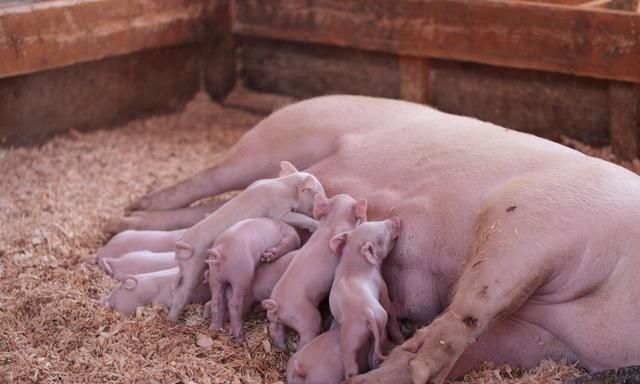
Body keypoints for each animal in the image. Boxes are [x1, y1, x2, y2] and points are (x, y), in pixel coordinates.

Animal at [111, 96, 640, 384]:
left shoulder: (544, 340)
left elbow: (479, 340)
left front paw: (402, 364)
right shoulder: (533, 215)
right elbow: (479, 300)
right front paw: (425, 361)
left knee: (207, 211)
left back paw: (123, 222)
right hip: (275, 139)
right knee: (203, 181)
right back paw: (128, 208)